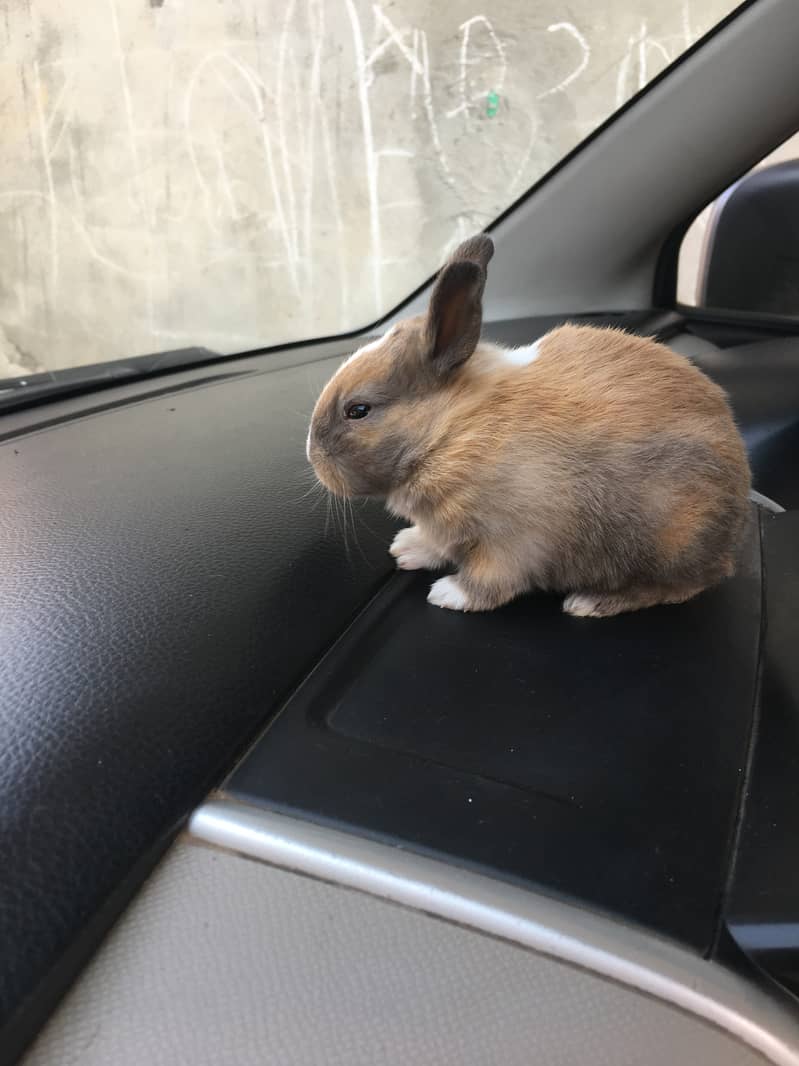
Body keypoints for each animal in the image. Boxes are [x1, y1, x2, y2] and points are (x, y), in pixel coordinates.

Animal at [306, 233, 749, 618]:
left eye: (358, 410)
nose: (311, 455)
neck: (452, 432)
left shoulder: (513, 540)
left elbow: (491, 580)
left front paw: (447, 594)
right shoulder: (446, 526)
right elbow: (435, 542)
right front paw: (406, 548)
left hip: (675, 538)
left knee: (682, 584)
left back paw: (590, 602)